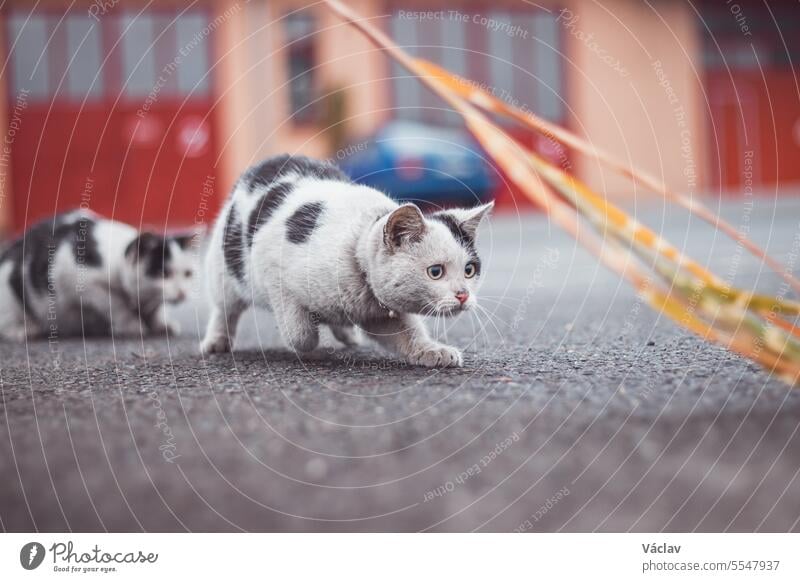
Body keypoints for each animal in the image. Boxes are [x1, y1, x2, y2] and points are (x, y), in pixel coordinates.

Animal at [0, 212, 195, 342]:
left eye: (188, 274)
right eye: (164, 274)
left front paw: (161, 325)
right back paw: (25, 330)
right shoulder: (84, 282)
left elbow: (155, 309)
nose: (183, 294)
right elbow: (116, 304)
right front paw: (133, 326)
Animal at [203, 155, 490, 370]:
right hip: (224, 267)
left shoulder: (381, 314)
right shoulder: (273, 268)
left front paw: (434, 351)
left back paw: (346, 332)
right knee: (225, 308)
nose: (463, 294)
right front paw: (309, 340)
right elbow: (301, 335)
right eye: (435, 272)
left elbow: (409, 334)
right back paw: (216, 342)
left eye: (469, 270)